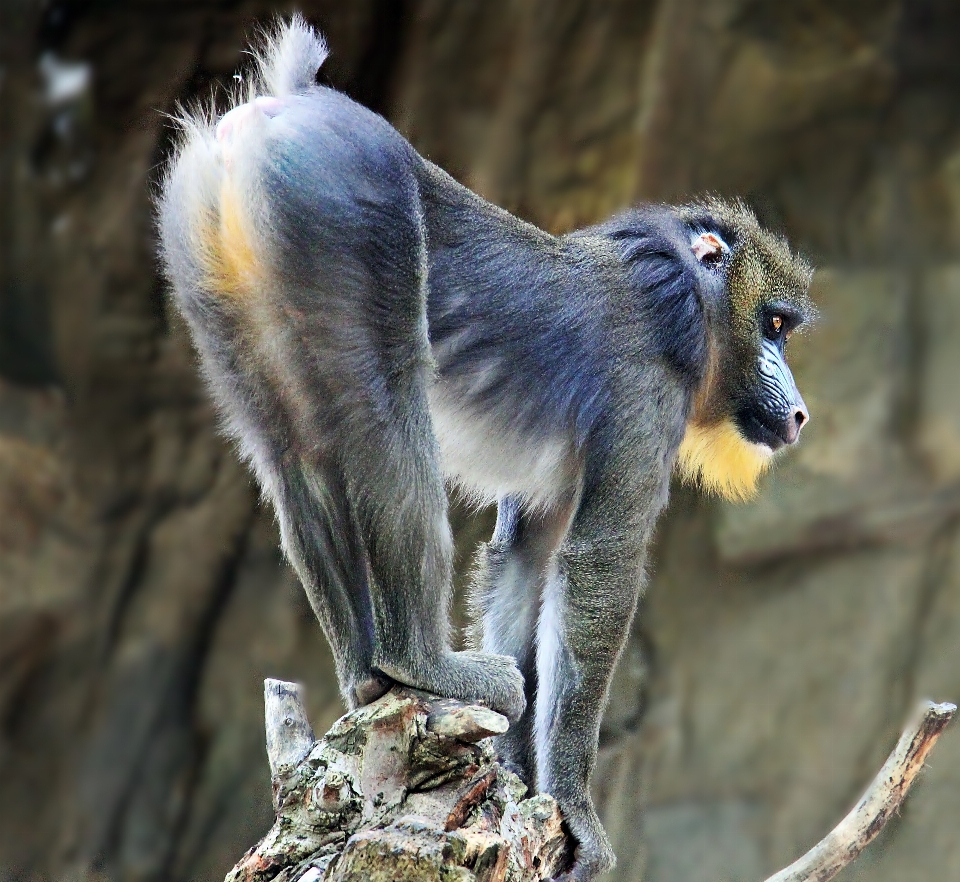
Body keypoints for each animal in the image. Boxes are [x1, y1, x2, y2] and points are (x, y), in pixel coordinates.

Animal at [156, 15, 808, 880]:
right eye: (773, 325)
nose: (798, 412)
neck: (681, 304)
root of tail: (284, 105)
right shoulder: (645, 402)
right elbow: (597, 568)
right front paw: (574, 808)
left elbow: (523, 563)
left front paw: (518, 781)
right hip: (353, 218)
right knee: (382, 427)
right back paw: (420, 664)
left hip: (209, 261)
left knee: (292, 459)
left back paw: (367, 679)